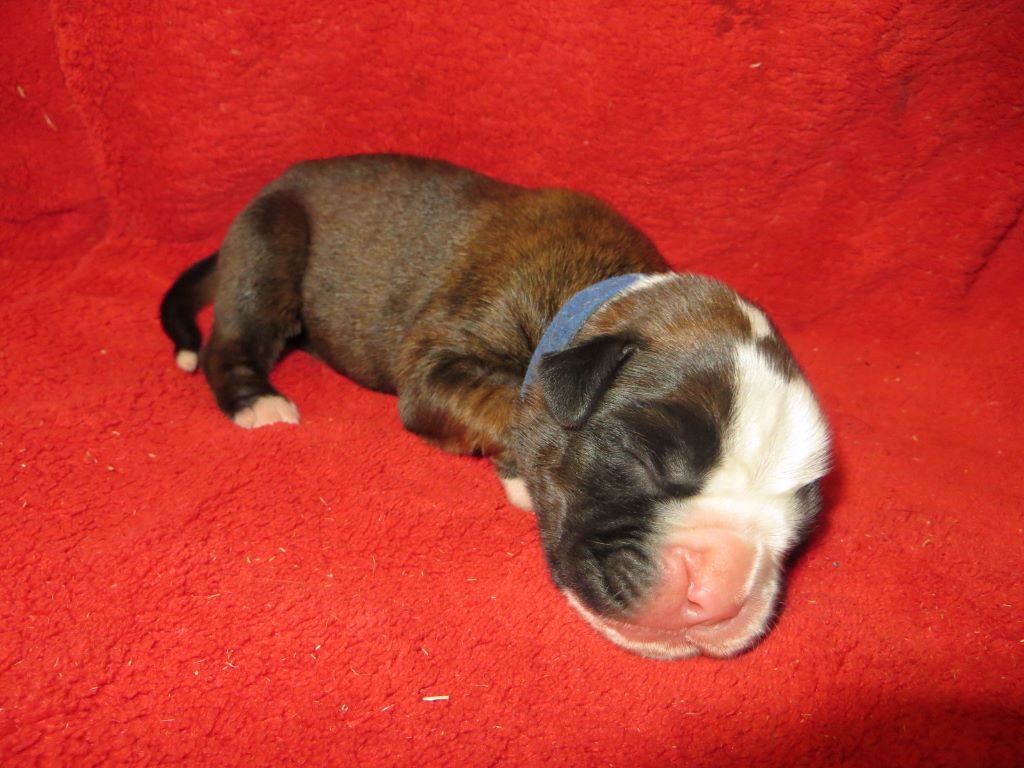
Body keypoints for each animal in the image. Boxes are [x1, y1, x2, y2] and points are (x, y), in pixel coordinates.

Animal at [160, 154, 831, 659]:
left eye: (803, 519)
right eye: (648, 461)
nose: (721, 591)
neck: (598, 292)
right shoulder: (437, 365)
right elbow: (511, 400)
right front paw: (518, 476)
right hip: (272, 242)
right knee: (231, 338)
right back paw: (257, 402)